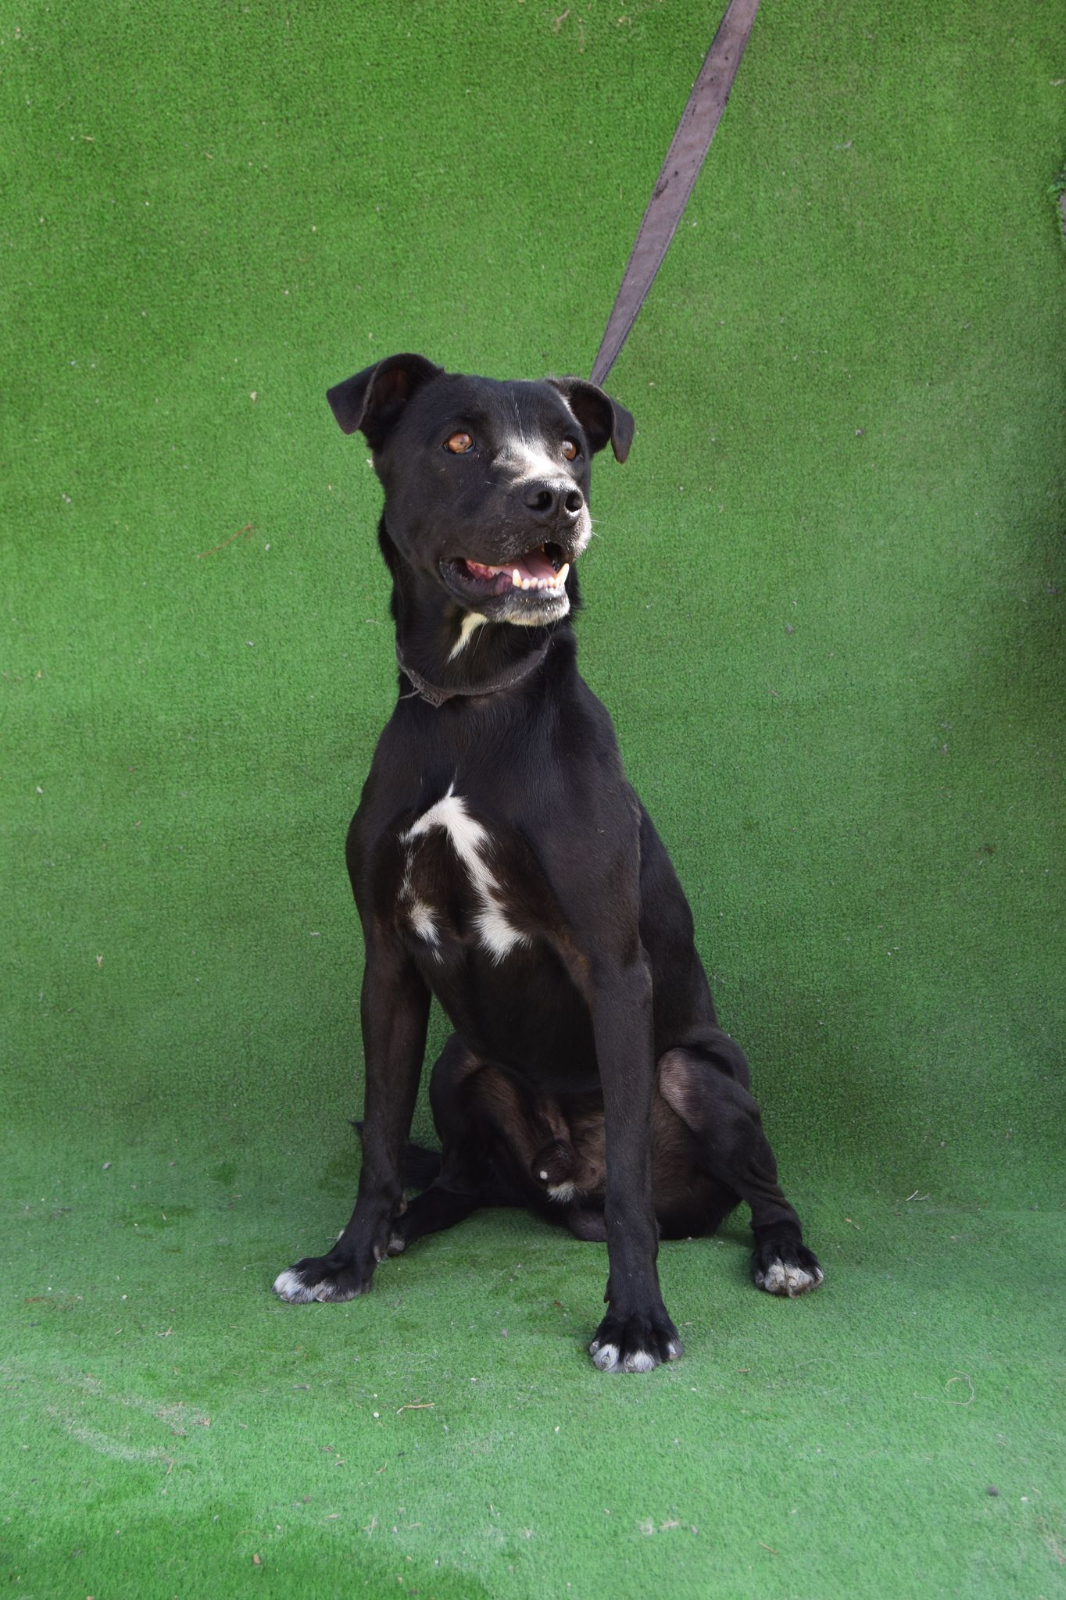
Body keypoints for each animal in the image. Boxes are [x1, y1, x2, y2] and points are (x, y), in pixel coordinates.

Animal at [273, 354, 823, 1372]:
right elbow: (379, 1143)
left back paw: (783, 1254)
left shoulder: (612, 967)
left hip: (702, 1073)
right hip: (461, 1062)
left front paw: (636, 1320)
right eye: (459, 440)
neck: (472, 704)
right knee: (461, 1177)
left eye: (572, 449)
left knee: (751, 1190)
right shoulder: (388, 964)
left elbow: (635, 1192)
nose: (556, 500)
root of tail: (562, 1185)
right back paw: (410, 1221)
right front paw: (346, 1261)